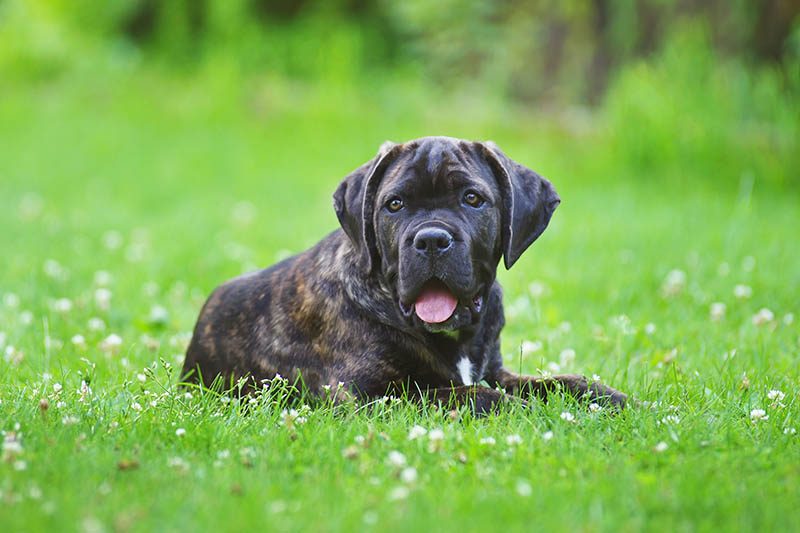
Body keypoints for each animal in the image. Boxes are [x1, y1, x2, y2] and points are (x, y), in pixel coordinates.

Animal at [181, 136, 624, 412]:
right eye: (394, 204)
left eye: (472, 198)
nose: (431, 240)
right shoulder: (372, 395)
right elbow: (468, 395)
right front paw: (532, 413)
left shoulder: (498, 372)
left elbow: (563, 381)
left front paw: (618, 401)